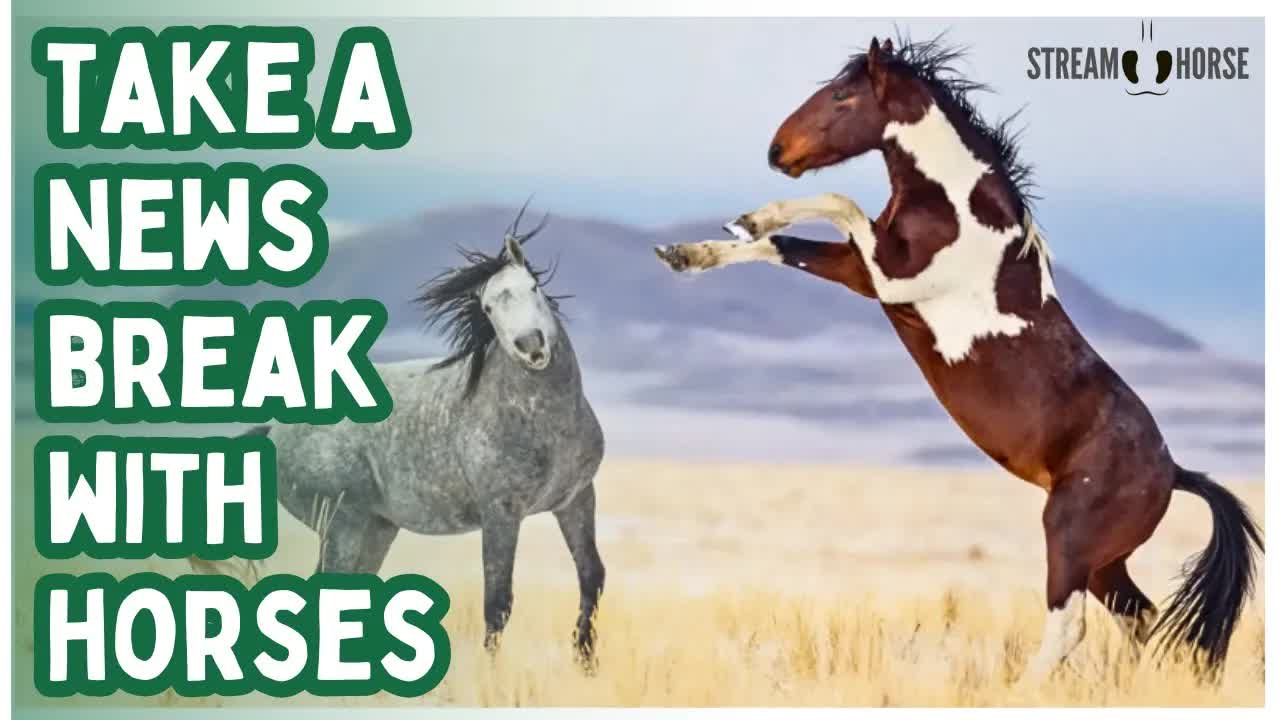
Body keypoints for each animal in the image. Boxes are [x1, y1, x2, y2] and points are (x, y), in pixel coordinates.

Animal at [262, 209, 607, 662]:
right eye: (488, 306)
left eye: (532, 287)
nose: (531, 345)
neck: (547, 421)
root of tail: (274, 429)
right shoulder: (501, 513)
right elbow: (497, 601)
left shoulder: (576, 499)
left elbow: (591, 578)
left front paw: (586, 662)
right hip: (342, 525)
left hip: (376, 528)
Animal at [654, 35, 1261, 682]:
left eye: (842, 96)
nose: (777, 151)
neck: (956, 210)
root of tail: (1172, 472)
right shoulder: (858, 267)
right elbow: (778, 244)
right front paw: (693, 250)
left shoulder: (883, 274)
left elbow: (837, 202)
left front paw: (746, 220)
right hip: (1104, 561)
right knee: (1139, 616)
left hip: (1069, 537)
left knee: (1071, 624)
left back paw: (1022, 691)